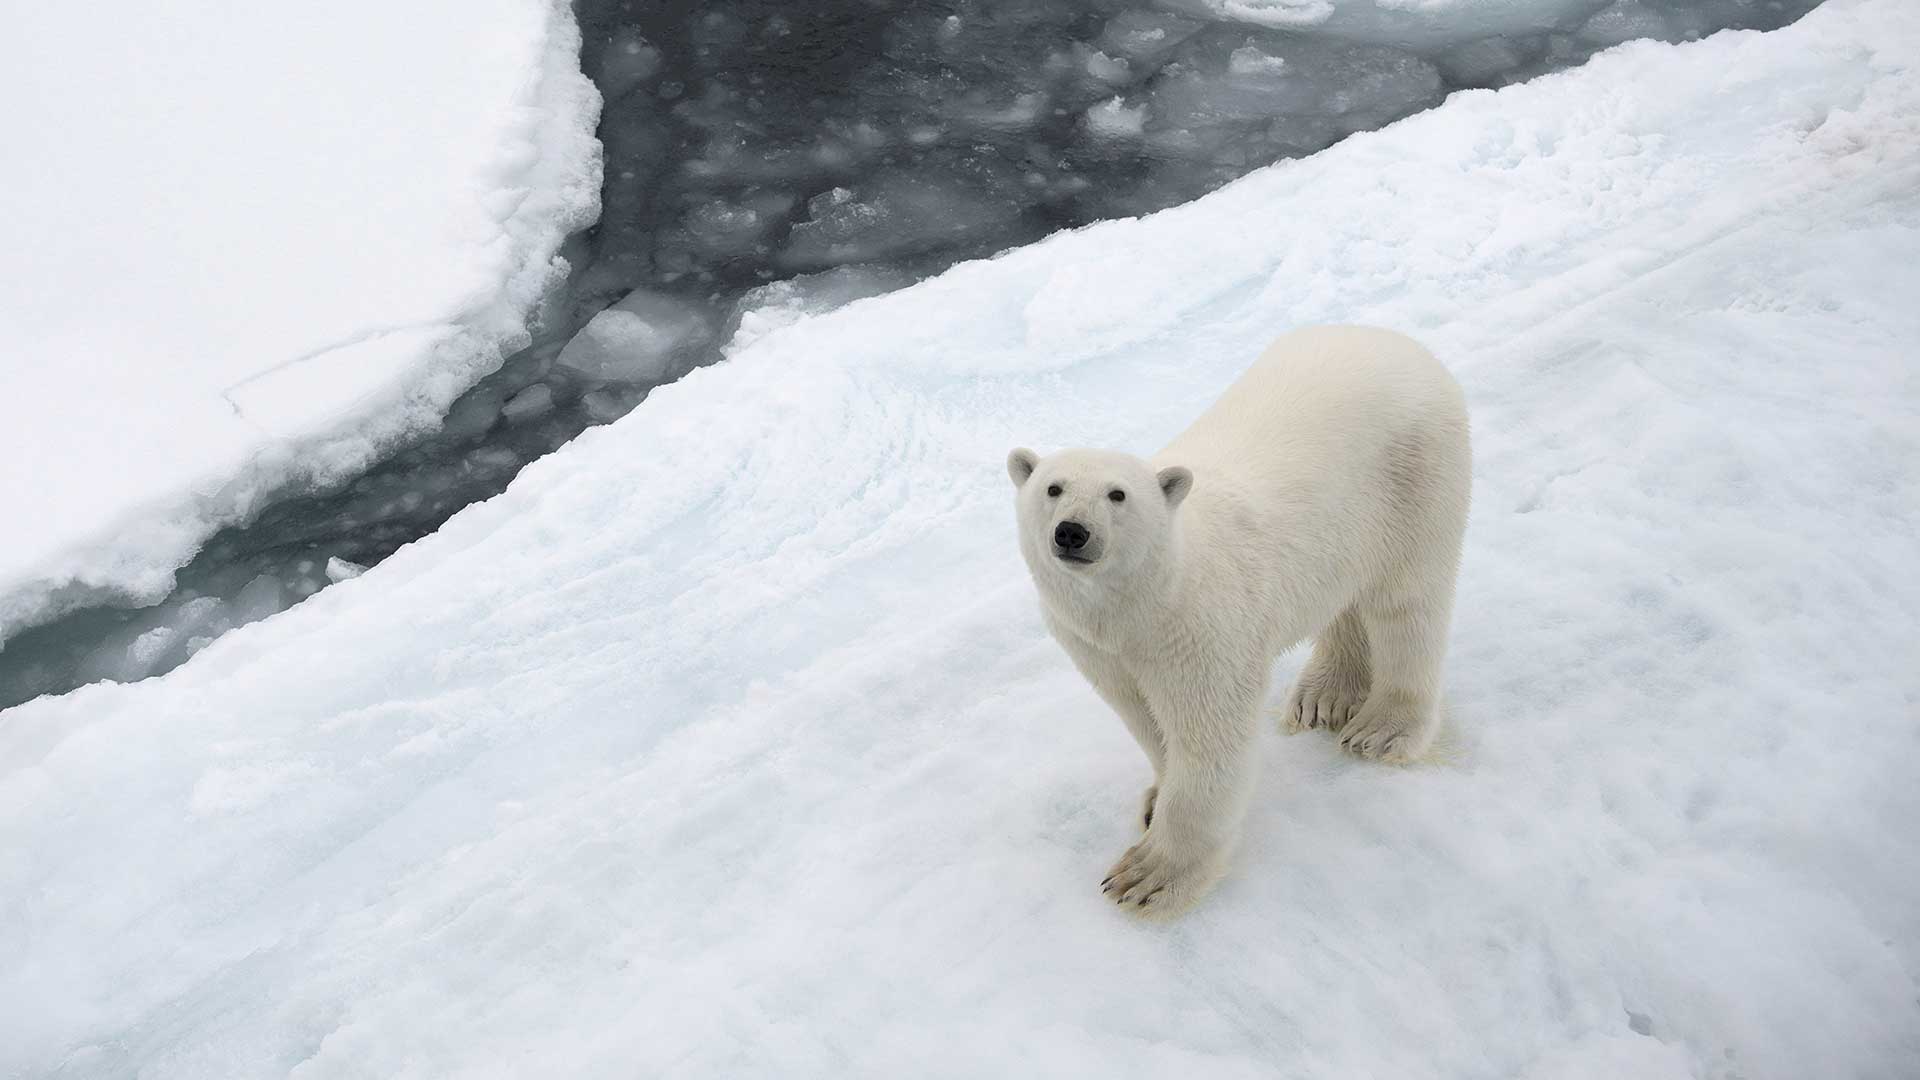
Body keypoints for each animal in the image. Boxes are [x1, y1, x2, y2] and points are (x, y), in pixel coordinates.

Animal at [1006, 324, 1470, 917]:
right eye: (1053, 487)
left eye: (1118, 494)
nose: (1072, 532)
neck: (1147, 599)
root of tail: (1398, 341)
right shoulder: (1097, 646)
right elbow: (1142, 716)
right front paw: (1154, 799)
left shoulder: (1202, 628)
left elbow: (1209, 735)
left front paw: (1149, 875)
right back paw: (1323, 697)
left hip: (1414, 473)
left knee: (1407, 601)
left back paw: (1383, 728)